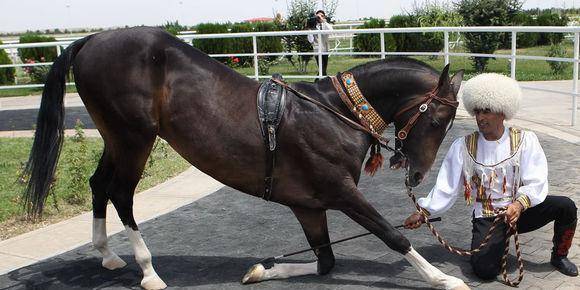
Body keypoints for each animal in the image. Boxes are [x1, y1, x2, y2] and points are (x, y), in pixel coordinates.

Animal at [21, 27, 466, 290]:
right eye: (437, 119)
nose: (416, 174)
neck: (331, 112)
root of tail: (92, 39)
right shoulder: (339, 191)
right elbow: (391, 234)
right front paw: (442, 278)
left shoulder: (308, 204)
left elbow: (325, 260)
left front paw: (261, 270)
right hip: (134, 139)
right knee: (121, 194)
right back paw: (148, 271)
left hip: (116, 138)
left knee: (98, 185)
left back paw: (108, 255)